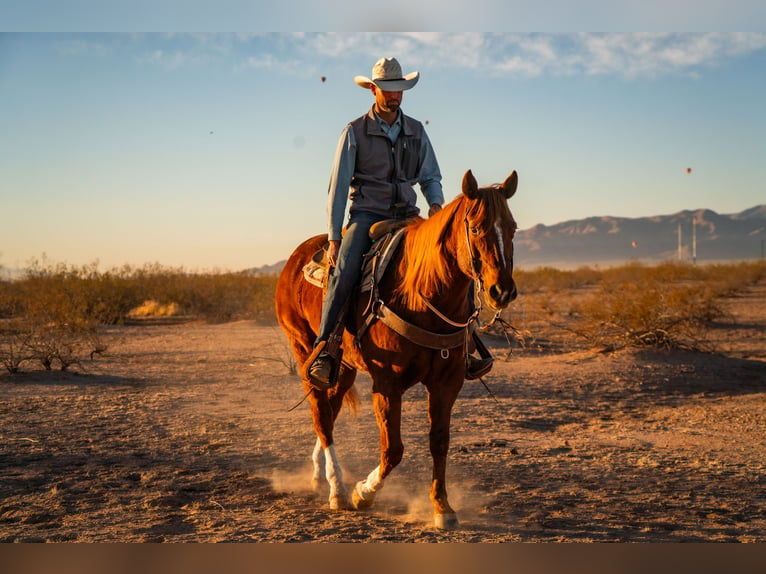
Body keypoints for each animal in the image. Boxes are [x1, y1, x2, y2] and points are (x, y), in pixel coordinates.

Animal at [272, 169, 520, 528]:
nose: (502, 291)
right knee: (321, 414)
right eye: (475, 228)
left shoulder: (447, 383)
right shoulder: (387, 383)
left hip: (343, 367)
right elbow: (393, 449)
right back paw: (338, 490)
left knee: (331, 409)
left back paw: (320, 474)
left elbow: (439, 441)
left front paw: (442, 506)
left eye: (512, 227)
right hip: (305, 351)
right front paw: (363, 493)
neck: (420, 292)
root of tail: (296, 258)